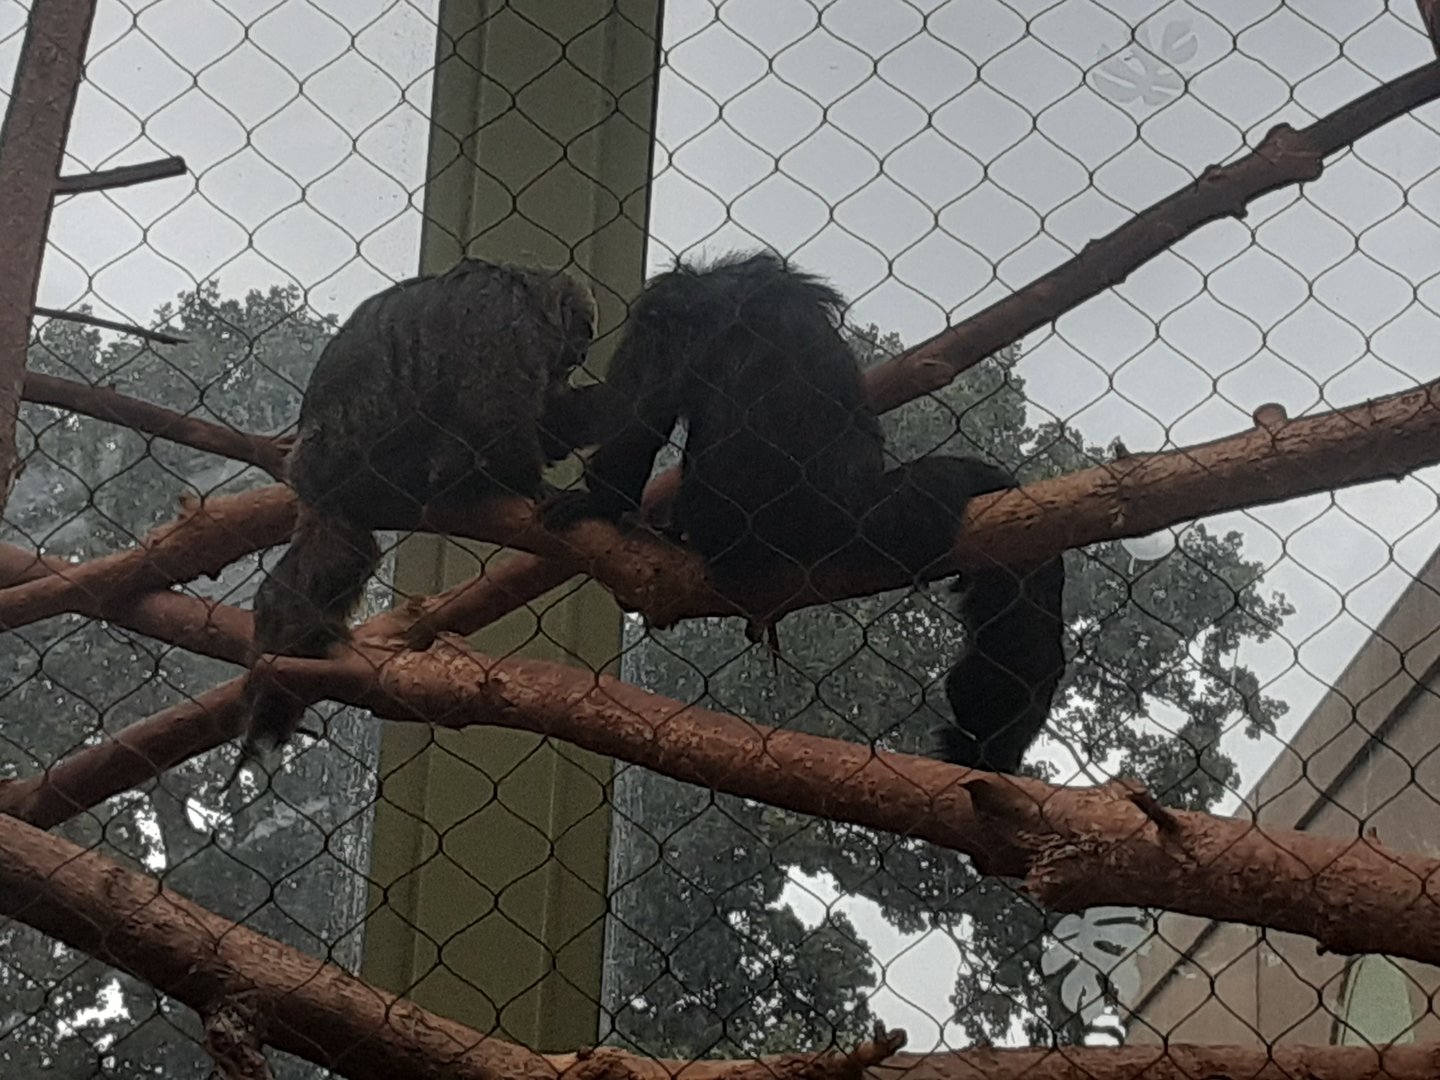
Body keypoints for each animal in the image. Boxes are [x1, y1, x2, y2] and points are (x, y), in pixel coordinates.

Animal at [238, 258, 602, 772]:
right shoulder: (503, 319)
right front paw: (529, 482)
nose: (579, 353)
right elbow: (493, 411)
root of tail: (312, 475)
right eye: (580, 334)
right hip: (368, 462)